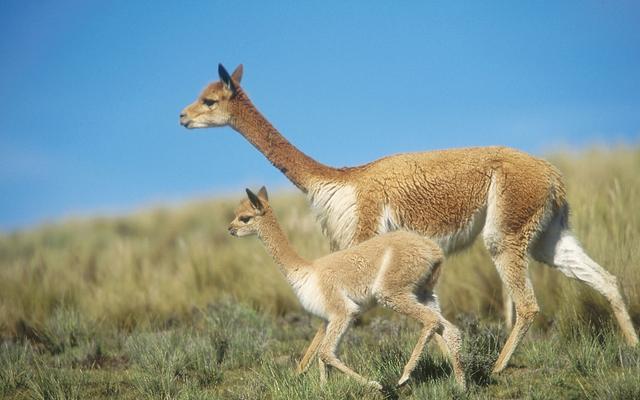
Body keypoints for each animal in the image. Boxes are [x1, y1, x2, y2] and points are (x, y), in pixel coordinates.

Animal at [228, 187, 466, 389]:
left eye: (244, 217)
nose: (230, 229)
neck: (306, 271)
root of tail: (434, 250)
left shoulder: (343, 311)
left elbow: (326, 353)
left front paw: (376, 385)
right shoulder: (328, 318)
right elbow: (321, 357)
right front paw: (324, 389)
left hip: (392, 291)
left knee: (431, 321)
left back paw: (405, 376)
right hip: (424, 291)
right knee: (450, 329)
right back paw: (460, 386)